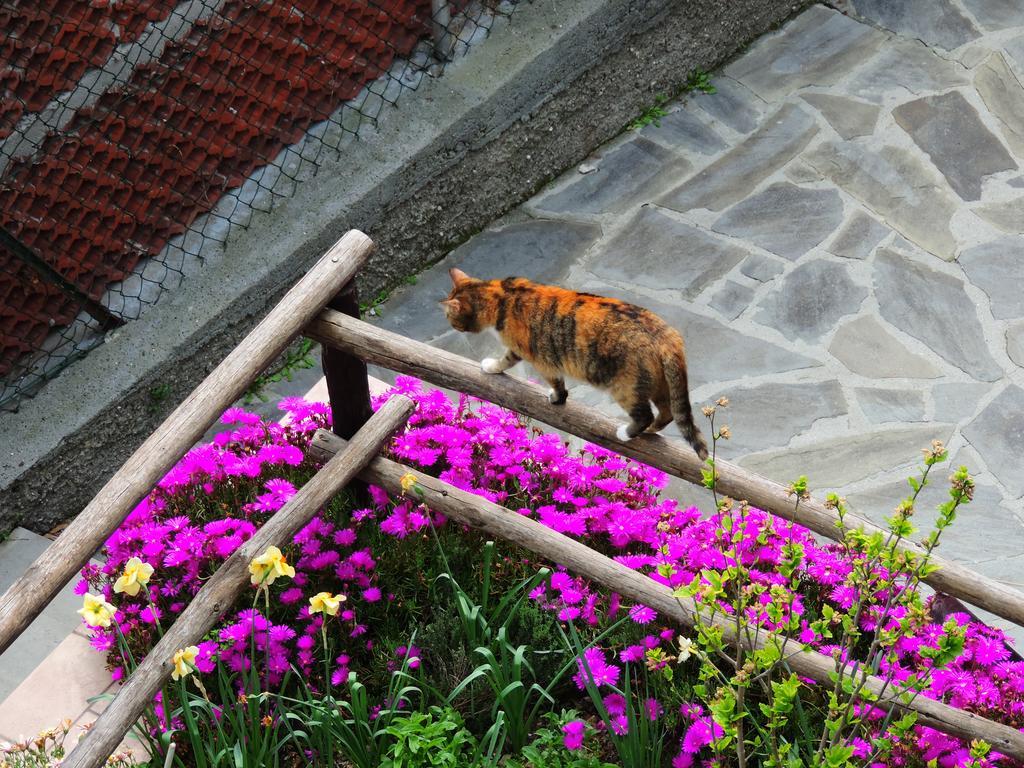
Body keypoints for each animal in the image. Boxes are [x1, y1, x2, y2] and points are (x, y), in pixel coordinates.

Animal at [436, 268, 708, 460]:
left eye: (450, 317)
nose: (451, 325)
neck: (502, 295)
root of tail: (667, 336)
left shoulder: (539, 358)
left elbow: (550, 381)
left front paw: (554, 398)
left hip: (626, 387)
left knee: (645, 414)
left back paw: (627, 432)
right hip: (659, 383)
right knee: (668, 412)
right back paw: (652, 430)